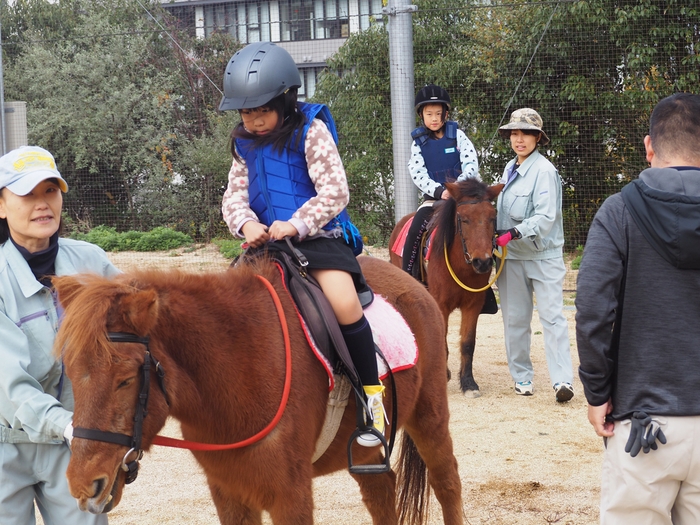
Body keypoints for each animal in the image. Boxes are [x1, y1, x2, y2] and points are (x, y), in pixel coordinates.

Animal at [53, 256, 464, 520]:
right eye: (70, 373)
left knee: (447, 485)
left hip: (429, 418)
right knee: (381, 491)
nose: (83, 483)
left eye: (125, 378)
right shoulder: (229, 493)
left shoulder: (290, 495)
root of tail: (414, 286)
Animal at [388, 178, 504, 396]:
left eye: (492, 217)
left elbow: (468, 343)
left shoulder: (473, 305)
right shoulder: (441, 304)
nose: (483, 262)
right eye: (464, 219)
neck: (461, 265)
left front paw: (468, 383)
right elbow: (441, 339)